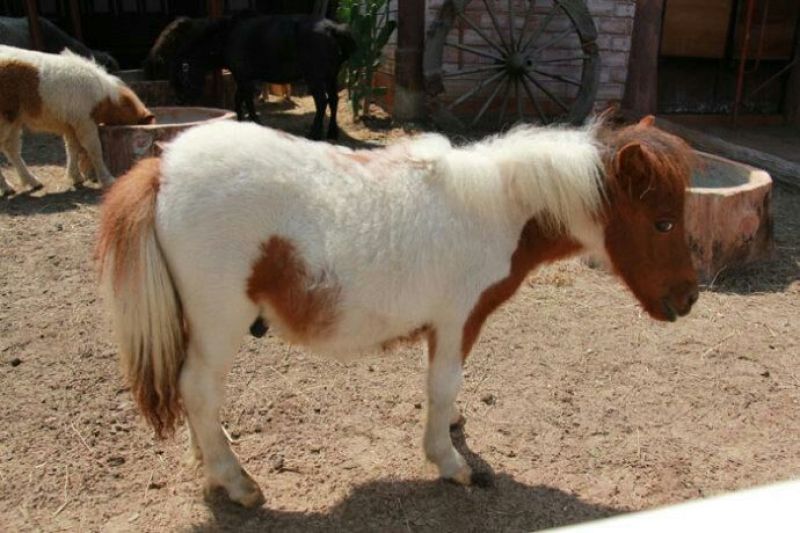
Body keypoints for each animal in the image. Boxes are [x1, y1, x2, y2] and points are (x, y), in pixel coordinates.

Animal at [0, 46, 154, 196]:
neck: (102, 97)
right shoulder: (85, 122)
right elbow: (94, 148)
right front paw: (107, 179)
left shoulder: (71, 125)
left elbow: (72, 148)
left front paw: (76, 177)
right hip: (5, 121)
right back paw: (7, 188)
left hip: (14, 120)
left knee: (11, 149)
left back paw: (32, 181)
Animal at [96, 116, 699, 507]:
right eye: (663, 221)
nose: (690, 298)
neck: (498, 210)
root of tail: (162, 169)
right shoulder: (459, 320)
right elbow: (444, 384)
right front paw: (450, 463)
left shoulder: (443, 326)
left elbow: (444, 389)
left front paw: (452, 428)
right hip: (220, 324)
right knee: (198, 389)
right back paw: (238, 483)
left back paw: (212, 469)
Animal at [169, 14, 355, 140]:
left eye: (182, 74)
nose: (179, 101)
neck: (227, 37)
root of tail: (332, 29)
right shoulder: (242, 78)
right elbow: (239, 100)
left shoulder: (243, 77)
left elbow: (247, 101)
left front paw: (255, 123)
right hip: (330, 76)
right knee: (334, 100)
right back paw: (332, 132)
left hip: (315, 78)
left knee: (322, 102)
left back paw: (314, 134)